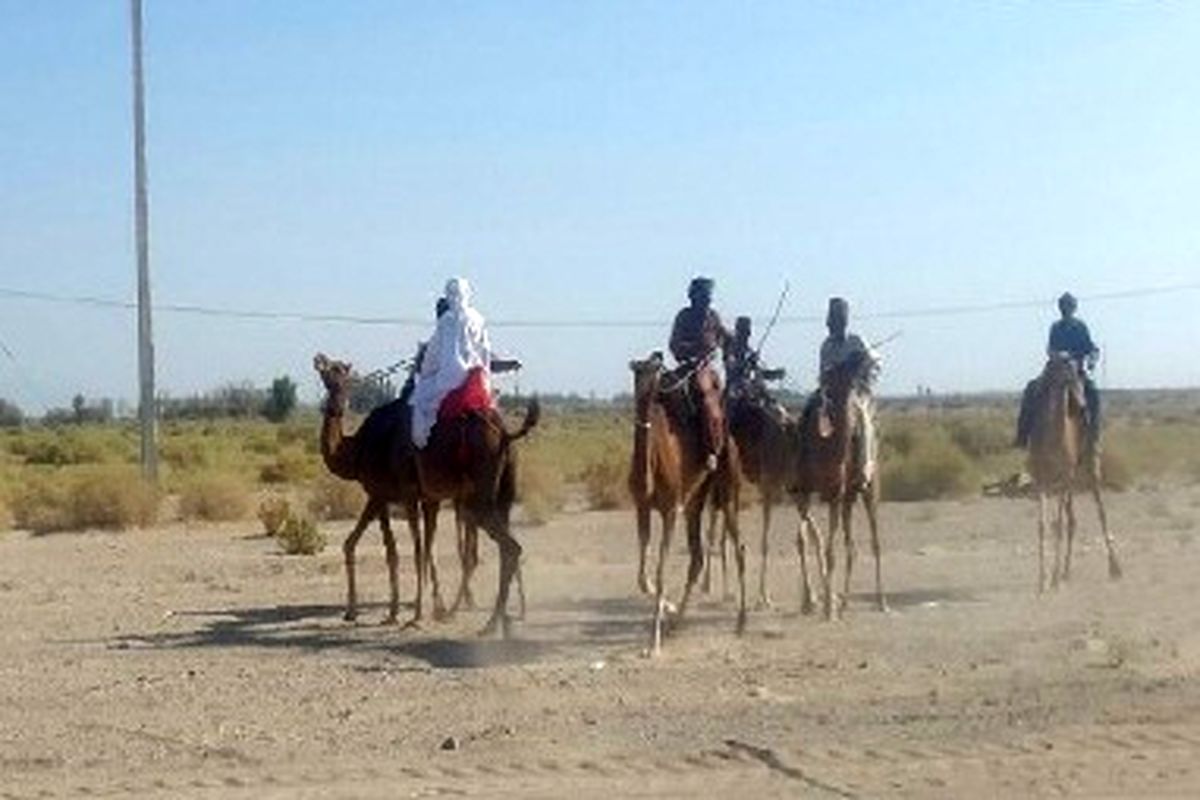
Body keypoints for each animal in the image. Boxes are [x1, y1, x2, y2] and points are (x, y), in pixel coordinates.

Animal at [628, 352, 739, 652]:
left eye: (655, 375)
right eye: (635, 373)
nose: (656, 357)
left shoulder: (670, 510)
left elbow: (661, 572)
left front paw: (653, 643)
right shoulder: (642, 506)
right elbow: (642, 577)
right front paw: (669, 608)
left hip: (720, 489)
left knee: (720, 548)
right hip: (694, 501)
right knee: (697, 556)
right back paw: (678, 620)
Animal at [792, 352, 888, 623]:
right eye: (860, 355)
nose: (877, 365)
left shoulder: (835, 494)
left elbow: (829, 550)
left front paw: (827, 607)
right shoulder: (803, 493)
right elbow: (804, 541)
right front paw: (810, 602)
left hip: (869, 489)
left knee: (875, 541)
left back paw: (881, 602)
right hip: (848, 498)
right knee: (851, 547)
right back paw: (844, 604)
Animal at [1027, 352, 1118, 592]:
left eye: (1078, 374)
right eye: (1068, 376)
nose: (1083, 406)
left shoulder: (1063, 476)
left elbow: (1057, 524)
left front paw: (1053, 580)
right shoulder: (1041, 477)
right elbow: (1043, 525)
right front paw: (1042, 581)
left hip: (1087, 465)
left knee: (1100, 510)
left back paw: (1114, 568)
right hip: (1068, 480)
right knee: (1072, 520)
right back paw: (1066, 573)